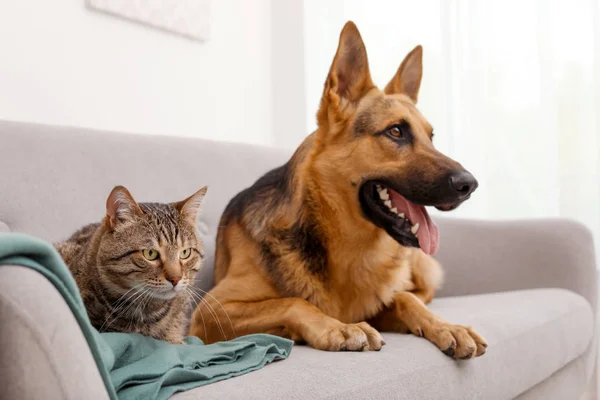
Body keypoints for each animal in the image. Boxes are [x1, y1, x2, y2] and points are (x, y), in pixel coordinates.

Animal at [191, 21, 488, 360]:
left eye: (431, 137)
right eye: (395, 131)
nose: (469, 185)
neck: (350, 245)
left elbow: (405, 299)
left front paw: (447, 326)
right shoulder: (210, 311)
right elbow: (293, 301)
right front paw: (339, 328)